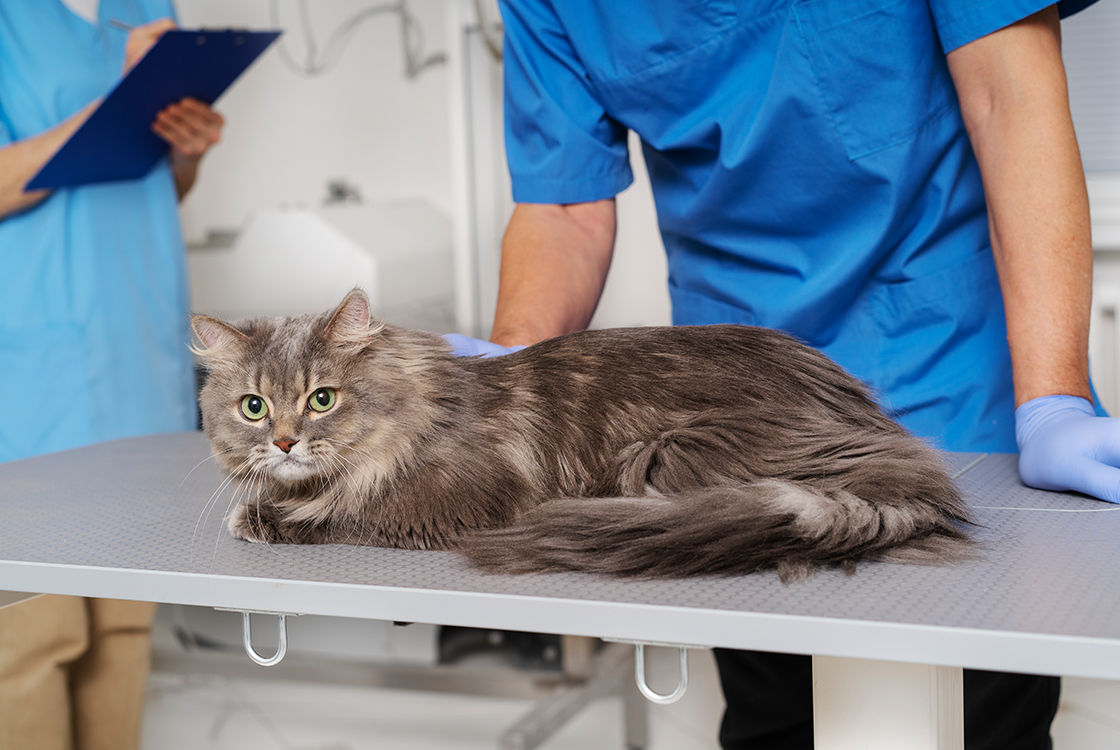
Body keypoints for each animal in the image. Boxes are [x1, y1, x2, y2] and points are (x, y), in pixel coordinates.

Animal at [190, 288, 972, 582]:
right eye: (254, 407)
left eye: (321, 399)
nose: (284, 442)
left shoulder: (438, 509)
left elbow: (343, 515)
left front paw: (262, 518)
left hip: (666, 454)